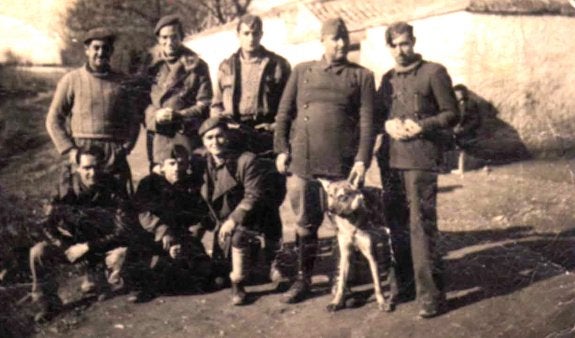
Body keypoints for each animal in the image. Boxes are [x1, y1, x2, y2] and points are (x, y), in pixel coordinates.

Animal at [318, 178, 394, 312]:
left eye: (342, 196)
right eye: (330, 195)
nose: (330, 210)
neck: (351, 223)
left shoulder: (371, 254)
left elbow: (377, 284)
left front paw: (382, 302)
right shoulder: (345, 254)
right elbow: (341, 283)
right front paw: (336, 302)